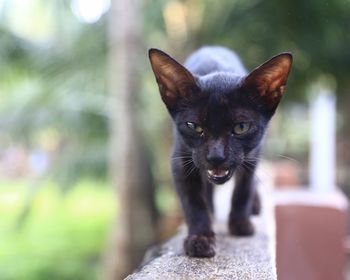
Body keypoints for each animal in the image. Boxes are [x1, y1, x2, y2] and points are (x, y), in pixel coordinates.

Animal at [148, 46, 292, 258]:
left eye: (241, 127)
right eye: (194, 126)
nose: (216, 156)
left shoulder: (252, 156)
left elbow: (243, 190)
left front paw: (240, 224)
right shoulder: (181, 160)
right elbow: (193, 202)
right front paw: (200, 237)